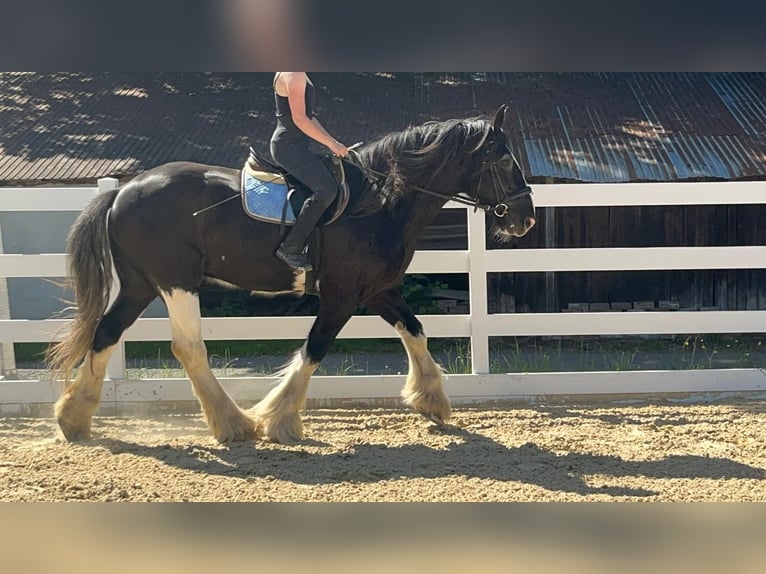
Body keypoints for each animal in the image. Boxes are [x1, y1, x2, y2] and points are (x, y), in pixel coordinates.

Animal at [46, 104, 537, 444]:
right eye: (504, 160)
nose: (526, 219)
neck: (379, 202)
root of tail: (123, 190)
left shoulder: (378, 290)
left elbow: (416, 331)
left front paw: (431, 400)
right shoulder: (342, 295)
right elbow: (315, 349)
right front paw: (278, 419)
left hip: (140, 284)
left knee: (106, 334)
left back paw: (73, 419)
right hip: (175, 282)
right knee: (187, 346)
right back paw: (234, 423)